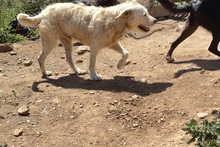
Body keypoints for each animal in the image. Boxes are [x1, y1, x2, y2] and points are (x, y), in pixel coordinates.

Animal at [17, 0, 156, 80]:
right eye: (144, 14)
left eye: (147, 12)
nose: (155, 20)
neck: (113, 20)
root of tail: (44, 11)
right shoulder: (94, 47)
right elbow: (92, 64)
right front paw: (94, 76)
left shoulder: (112, 43)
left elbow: (126, 53)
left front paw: (119, 65)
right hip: (50, 41)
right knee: (40, 58)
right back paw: (45, 74)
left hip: (67, 42)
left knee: (68, 59)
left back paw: (77, 71)